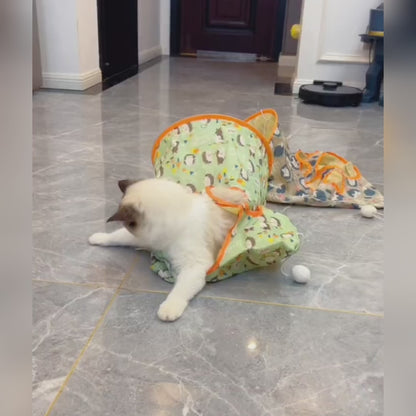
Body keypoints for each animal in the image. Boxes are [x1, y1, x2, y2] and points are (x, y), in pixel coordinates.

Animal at [87, 178, 244, 322]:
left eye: (128, 224)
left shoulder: (193, 266)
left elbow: (179, 290)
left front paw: (168, 310)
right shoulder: (146, 239)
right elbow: (117, 236)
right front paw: (96, 238)